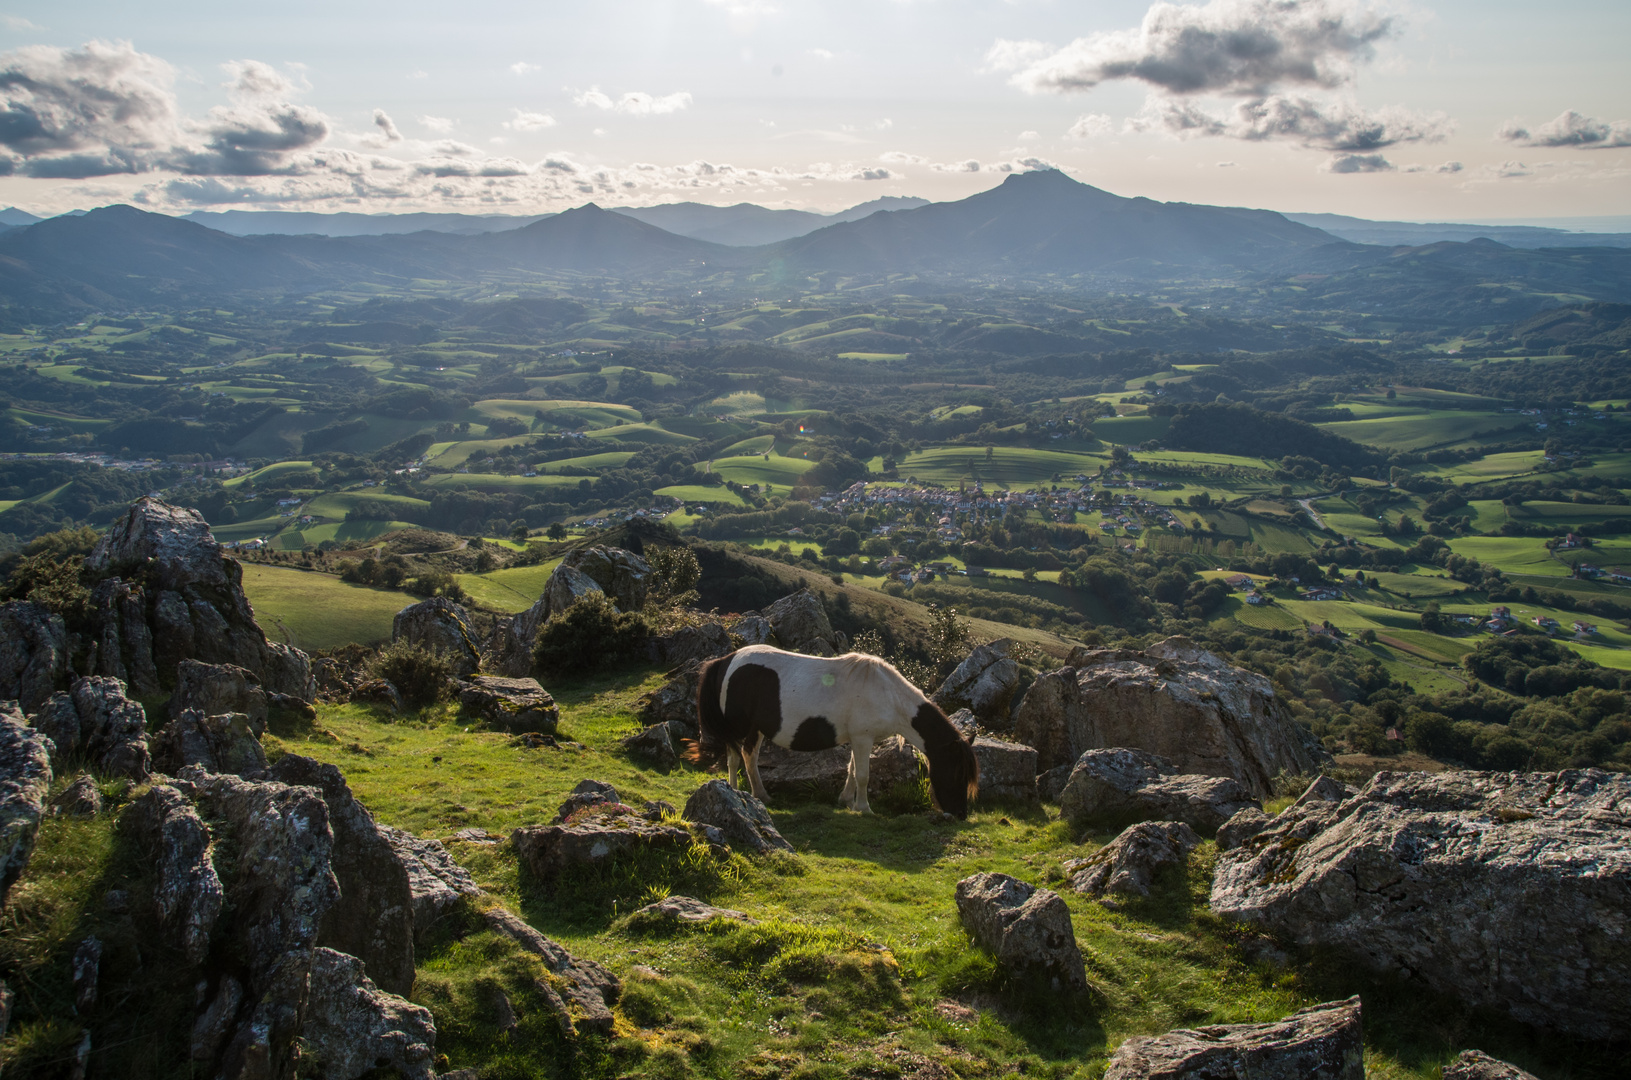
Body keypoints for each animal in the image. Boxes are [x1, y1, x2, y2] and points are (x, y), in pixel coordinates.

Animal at [691, 642, 978, 822]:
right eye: (957, 771)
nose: (961, 814)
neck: (889, 695)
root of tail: (727, 660)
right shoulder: (862, 738)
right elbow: (863, 774)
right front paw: (864, 808)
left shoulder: (860, 739)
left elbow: (851, 770)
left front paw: (846, 801)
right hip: (739, 727)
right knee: (737, 757)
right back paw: (740, 792)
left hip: (755, 728)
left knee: (745, 756)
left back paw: (753, 794)